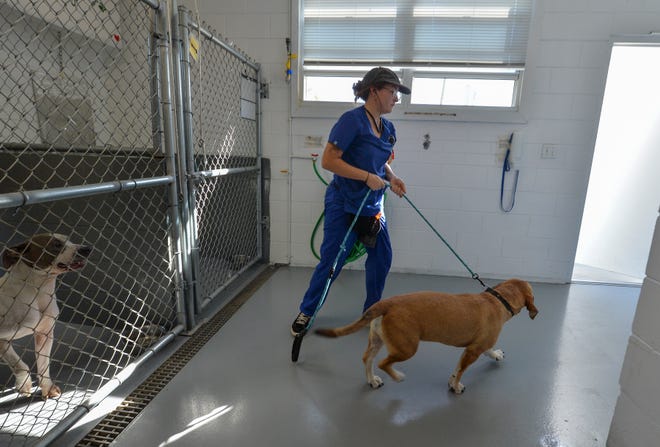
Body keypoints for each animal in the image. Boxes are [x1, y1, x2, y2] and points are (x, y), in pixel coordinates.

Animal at [0, 234, 91, 400]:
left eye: (68, 239)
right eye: (56, 244)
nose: (87, 248)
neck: (39, 288)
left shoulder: (45, 334)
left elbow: (44, 364)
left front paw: (47, 388)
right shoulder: (3, 339)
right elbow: (20, 365)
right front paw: (24, 385)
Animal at [314, 280, 536, 396]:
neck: (498, 299)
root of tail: (386, 303)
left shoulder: (475, 347)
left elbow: (465, 364)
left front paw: (496, 355)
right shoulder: (473, 351)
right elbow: (461, 371)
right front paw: (456, 386)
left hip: (377, 340)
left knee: (367, 359)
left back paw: (372, 380)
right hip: (407, 347)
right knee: (384, 363)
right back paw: (398, 377)